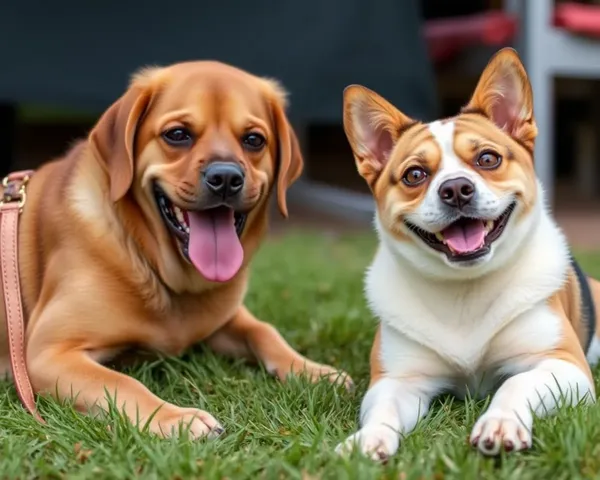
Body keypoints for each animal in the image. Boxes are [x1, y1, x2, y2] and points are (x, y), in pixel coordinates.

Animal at [0, 61, 352, 438]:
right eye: (178, 134)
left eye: (254, 139)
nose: (226, 178)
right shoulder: (47, 352)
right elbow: (122, 383)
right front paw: (178, 419)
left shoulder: (224, 319)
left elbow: (264, 330)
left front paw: (314, 370)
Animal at [336, 47, 596, 458]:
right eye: (414, 175)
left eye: (488, 159)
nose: (456, 189)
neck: (465, 288)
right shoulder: (397, 380)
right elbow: (384, 411)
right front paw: (368, 439)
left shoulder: (565, 366)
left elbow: (515, 384)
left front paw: (501, 422)